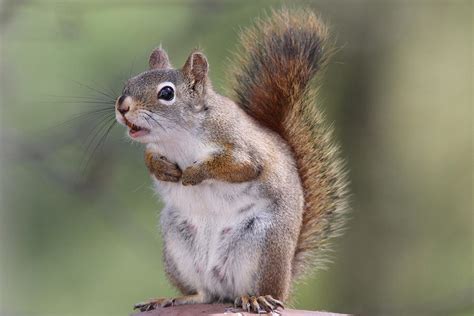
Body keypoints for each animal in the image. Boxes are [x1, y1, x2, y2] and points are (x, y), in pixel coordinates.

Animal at [115, 8, 348, 314]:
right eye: (129, 83)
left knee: (262, 290)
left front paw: (193, 174)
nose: (122, 106)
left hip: (264, 245)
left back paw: (257, 298)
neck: (177, 138)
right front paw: (164, 170)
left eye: (166, 93)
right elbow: (149, 157)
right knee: (203, 293)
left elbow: (239, 167)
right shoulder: (155, 147)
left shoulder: (241, 147)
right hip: (178, 244)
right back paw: (174, 298)